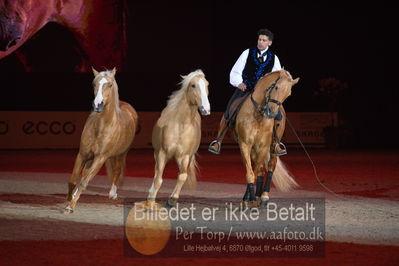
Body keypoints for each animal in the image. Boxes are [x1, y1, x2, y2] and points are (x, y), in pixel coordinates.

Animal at [65, 67, 139, 213]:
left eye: (110, 85)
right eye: (94, 84)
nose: (97, 105)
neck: (101, 127)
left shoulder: (100, 158)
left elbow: (84, 182)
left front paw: (71, 206)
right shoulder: (83, 154)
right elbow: (74, 180)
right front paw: (70, 200)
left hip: (121, 154)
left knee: (117, 170)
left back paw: (113, 193)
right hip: (91, 158)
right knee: (84, 173)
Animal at [146, 69, 209, 207]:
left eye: (207, 84)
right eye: (193, 85)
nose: (205, 109)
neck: (181, 125)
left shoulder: (184, 157)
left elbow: (182, 176)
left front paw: (172, 199)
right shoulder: (162, 153)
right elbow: (158, 179)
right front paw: (151, 202)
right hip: (157, 153)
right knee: (156, 173)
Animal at [234, 69, 300, 207]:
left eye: (288, 94)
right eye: (276, 87)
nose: (271, 112)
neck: (258, 114)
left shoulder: (263, 146)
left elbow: (256, 172)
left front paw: (252, 200)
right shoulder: (245, 144)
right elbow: (251, 172)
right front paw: (249, 200)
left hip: (273, 146)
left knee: (271, 165)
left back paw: (264, 196)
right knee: (259, 170)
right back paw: (257, 196)